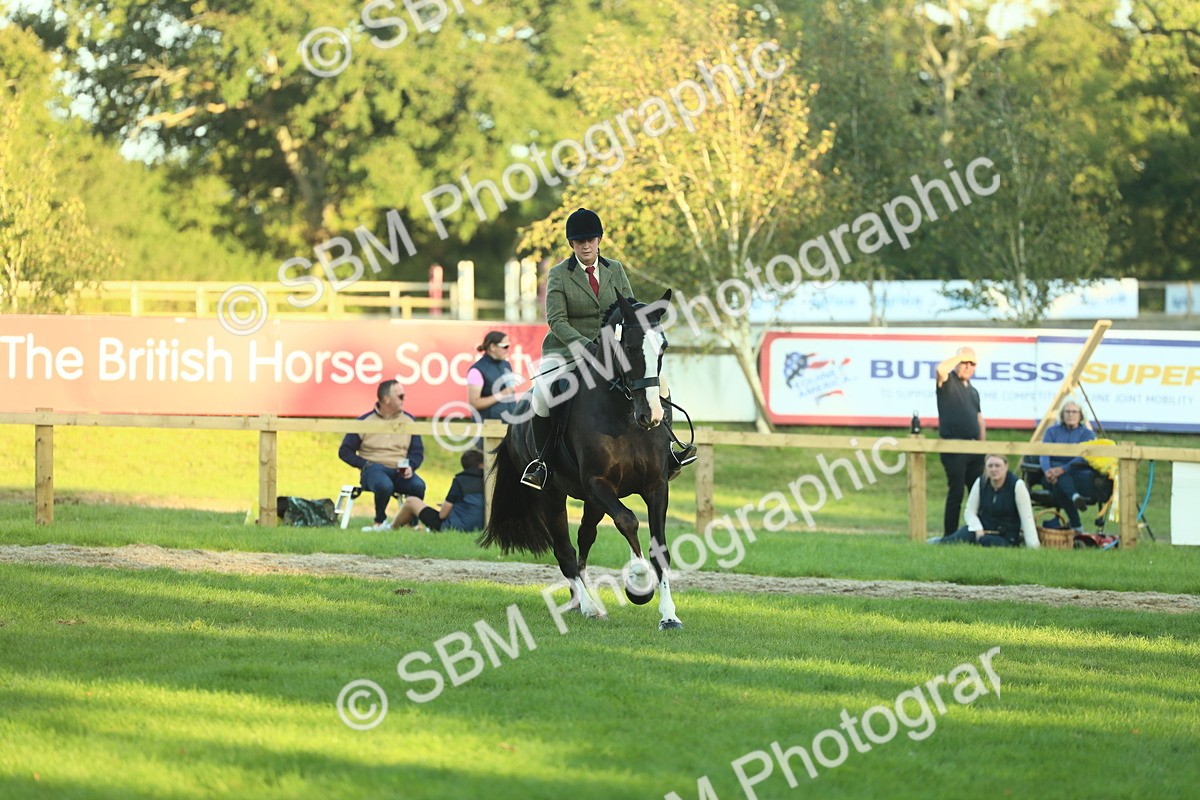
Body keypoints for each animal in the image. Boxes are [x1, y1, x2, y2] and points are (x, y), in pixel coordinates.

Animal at [478, 290, 683, 630]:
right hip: (551, 495)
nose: (651, 416)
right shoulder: (597, 483)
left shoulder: (656, 486)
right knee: (565, 551)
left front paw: (669, 615)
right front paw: (639, 583)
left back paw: (580, 601)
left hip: (591, 502)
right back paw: (589, 607)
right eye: (629, 347)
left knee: (584, 539)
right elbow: (628, 520)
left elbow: (659, 548)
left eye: (663, 347)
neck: (625, 417)